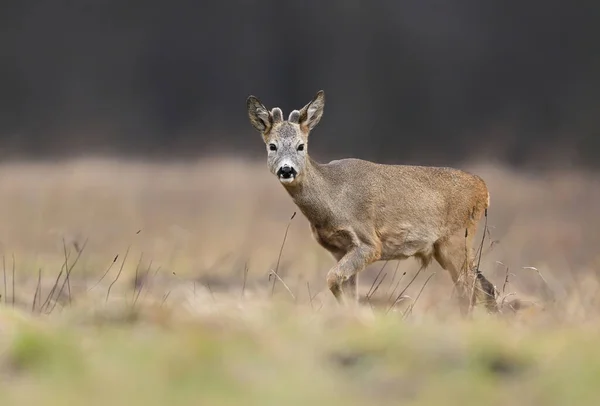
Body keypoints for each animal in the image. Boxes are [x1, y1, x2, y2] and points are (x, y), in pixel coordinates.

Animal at [246, 91, 500, 314]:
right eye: (272, 146)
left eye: (301, 146)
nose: (286, 170)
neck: (332, 199)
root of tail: (483, 188)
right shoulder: (339, 249)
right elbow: (346, 289)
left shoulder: (368, 242)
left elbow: (332, 279)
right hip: (447, 246)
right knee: (485, 286)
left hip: (456, 238)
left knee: (471, 290)